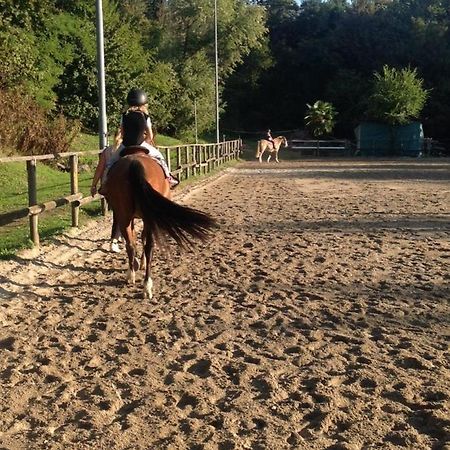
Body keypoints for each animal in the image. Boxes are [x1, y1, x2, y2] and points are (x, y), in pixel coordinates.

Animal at [103, 148, 216, 300]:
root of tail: (134, 163)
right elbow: (143, 238)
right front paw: (141, 263)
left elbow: (135, 238)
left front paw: (138, 263)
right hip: (145, 217)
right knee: (149, 246)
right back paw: (147, 286)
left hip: (124, 215)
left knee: (130, 244)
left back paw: (131, 275)